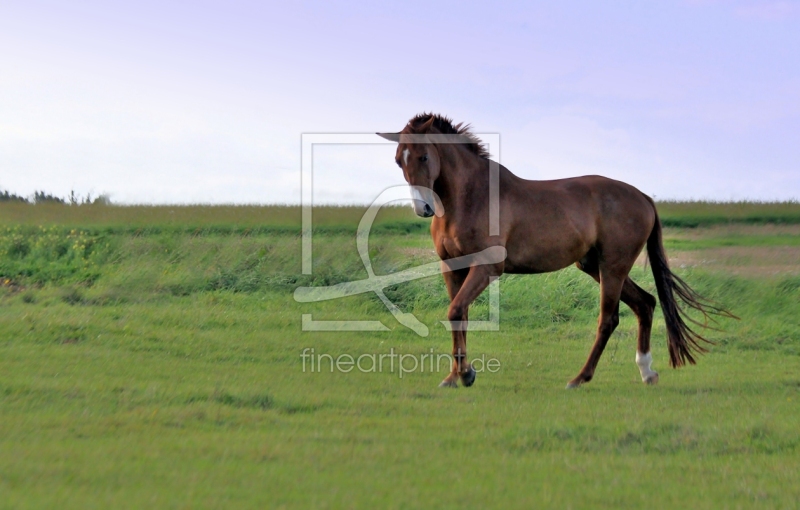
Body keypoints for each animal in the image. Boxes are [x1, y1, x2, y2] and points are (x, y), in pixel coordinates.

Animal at [378, 113, 736, 388]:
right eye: (398, 160)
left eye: (424, 156)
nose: (423, 208)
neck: (469, 196)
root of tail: (644, 197)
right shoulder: (451, 268)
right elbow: (459, 315)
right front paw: (457, 376)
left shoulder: (487, 268)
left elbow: (455, 311)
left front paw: (465, 374)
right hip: (594, 266)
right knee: (645, 304)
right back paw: (646, 372)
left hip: (613, 267)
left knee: (609, 319)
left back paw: (580, 378)